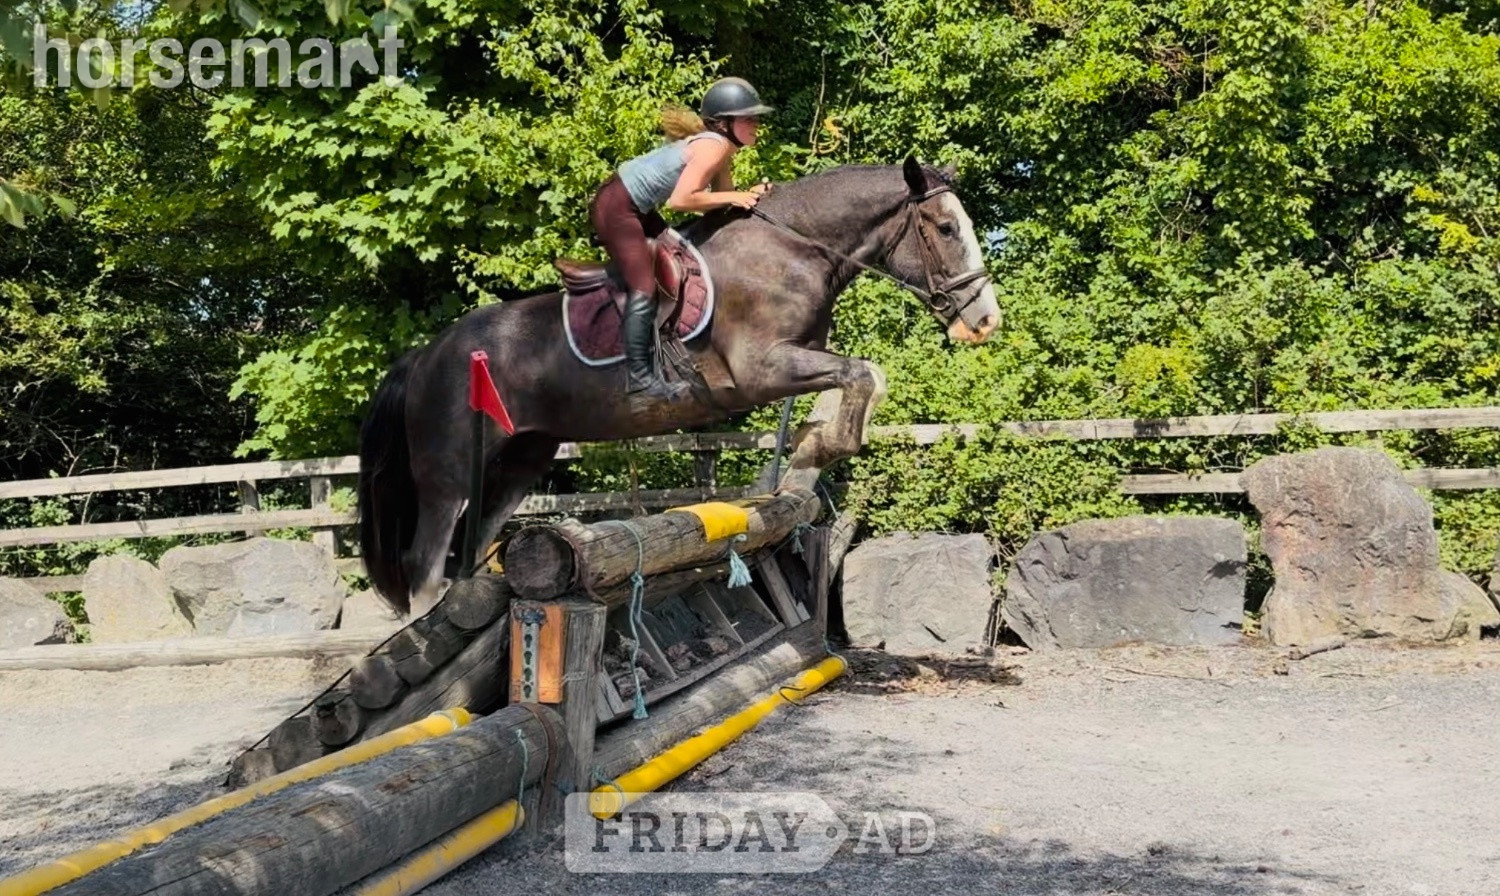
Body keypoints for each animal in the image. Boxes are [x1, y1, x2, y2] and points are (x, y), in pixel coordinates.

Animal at [357, 155, 1001, 617]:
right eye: (947, 228)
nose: (985, 321)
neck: (792, 248)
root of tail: (424, 355)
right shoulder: (760, 370)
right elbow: (864, 370)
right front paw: (824, 445)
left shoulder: (798, 359)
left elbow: (861, 376)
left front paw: (814, 446)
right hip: (446, 474)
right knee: (425, 564)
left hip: (520, 460)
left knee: (469, 547)